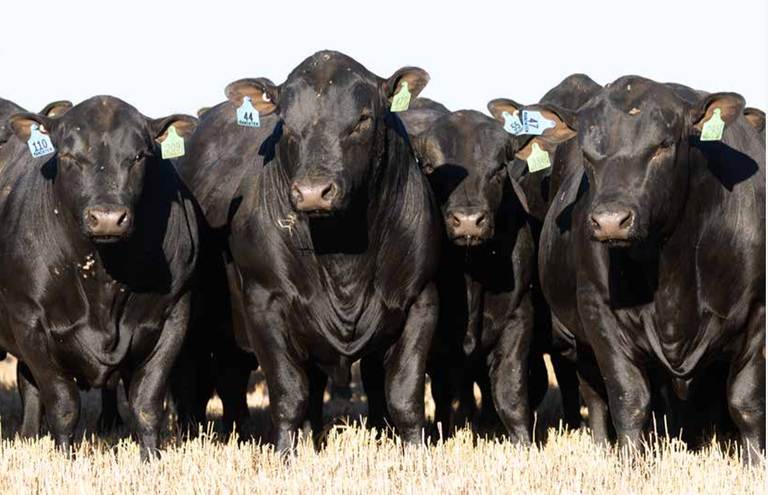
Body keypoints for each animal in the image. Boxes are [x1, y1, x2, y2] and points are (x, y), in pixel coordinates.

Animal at [0, 96, 199, 460]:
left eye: (139, 156)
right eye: (68, 155)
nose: (107, 217)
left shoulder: (175, 314)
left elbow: (147, 402)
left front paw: (151, 458)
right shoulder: (29, 321)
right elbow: (63, 404)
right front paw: (65, 459)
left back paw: (29, 435)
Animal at [176, 50, 441, 452]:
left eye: (363, 119)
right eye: (285, 123)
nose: (314, 192)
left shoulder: (421, 300)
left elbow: (404, 393)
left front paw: (415, 452)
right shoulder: (264, 303)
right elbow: (288, 393)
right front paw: (285, 455)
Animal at [537, 75, 765, 462]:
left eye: (662, 146)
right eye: (588, 154)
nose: (610, 220)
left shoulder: (757, 315)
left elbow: (745, 401)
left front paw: (755, 463)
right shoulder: (599, 315)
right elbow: (628, 399)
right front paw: (630, 462)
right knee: (594, 395)